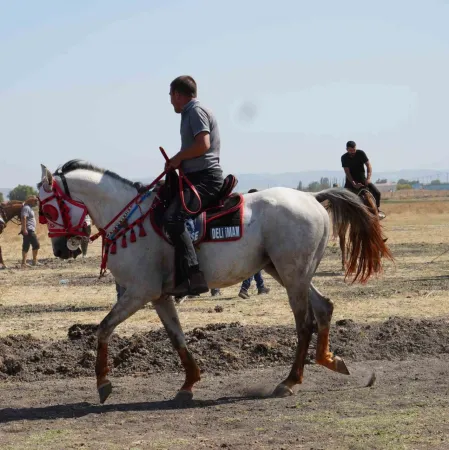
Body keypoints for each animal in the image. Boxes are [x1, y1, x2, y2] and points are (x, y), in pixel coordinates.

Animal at [36, 161, 390, 404]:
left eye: (47, 208)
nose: (60, 249)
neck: (131, 220)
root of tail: (312, 197)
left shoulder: (139, 292)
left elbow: (104, 328)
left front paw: (103, 384)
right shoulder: (159, 297)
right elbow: (176, 337)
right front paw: (189, 383)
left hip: (292, 276)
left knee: (305, 323)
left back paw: (290, 381)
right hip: (288, 273)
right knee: (324, 308)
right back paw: (331, 361)